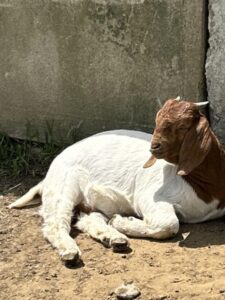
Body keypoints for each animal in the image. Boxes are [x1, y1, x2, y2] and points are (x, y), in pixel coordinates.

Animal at [8, 99, 225, 262]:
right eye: (157, 122)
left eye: (182, 126)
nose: (154, 147)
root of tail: (49, 174)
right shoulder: (150, 196)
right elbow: (169, 224)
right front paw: (122, 221)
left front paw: (118, 224)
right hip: (63, 186)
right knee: (55, 223)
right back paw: (71, 252)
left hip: (92, 201)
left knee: (88, 218)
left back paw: (114, 239)